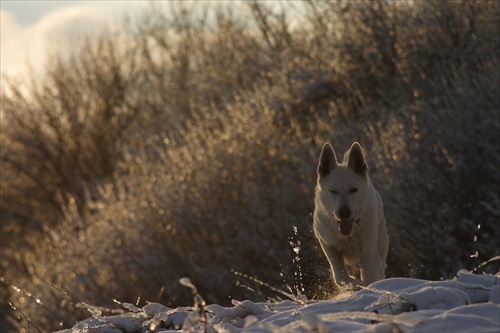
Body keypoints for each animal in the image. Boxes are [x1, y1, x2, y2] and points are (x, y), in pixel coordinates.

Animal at [312, 141, 390, 286]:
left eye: (353, 190)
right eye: (333, 191)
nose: (344, 212)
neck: (349, 234)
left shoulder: (369, 252)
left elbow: (369, 276)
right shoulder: (328, 244)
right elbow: (339, 275)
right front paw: (352, 284)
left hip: (381, 242)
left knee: (381, 267)